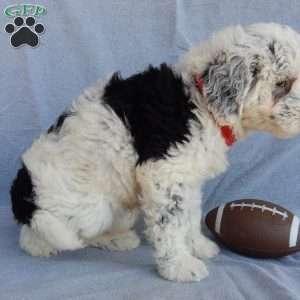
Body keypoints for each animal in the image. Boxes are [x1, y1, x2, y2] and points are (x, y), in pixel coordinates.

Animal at [10, 22, 300, 282]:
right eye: (282, 84)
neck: (200, 100)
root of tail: (24, 189)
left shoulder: (188, 177)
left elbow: (189, 214)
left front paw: (197, 246)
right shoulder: (165, 172)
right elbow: (170, 223)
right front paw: (179, 265)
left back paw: (116, 239)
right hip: (86, 209)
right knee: (34, 233)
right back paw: (41, 245)